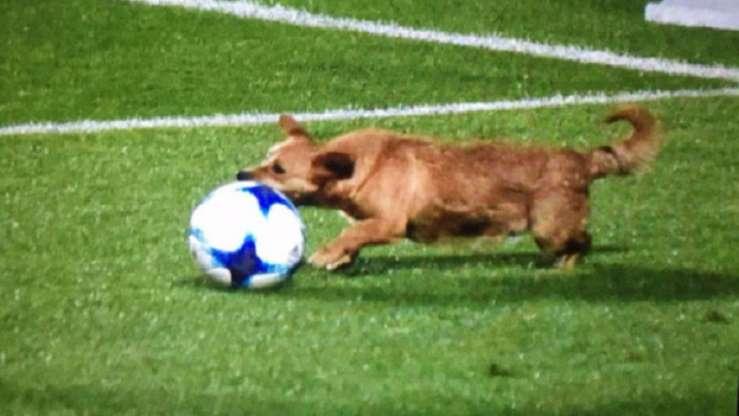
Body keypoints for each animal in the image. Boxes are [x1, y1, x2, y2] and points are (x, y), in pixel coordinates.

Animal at [240, 105, 660, 272]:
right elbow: (356, 235)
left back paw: (565, 267)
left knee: (583, 241)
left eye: (278, 169)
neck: (359, 166)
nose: (241, 174)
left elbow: (354, 231)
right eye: (267, 157)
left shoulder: (389, 223)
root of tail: (581, 159)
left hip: (548, 228)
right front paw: (342, 259)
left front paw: (328, 253)